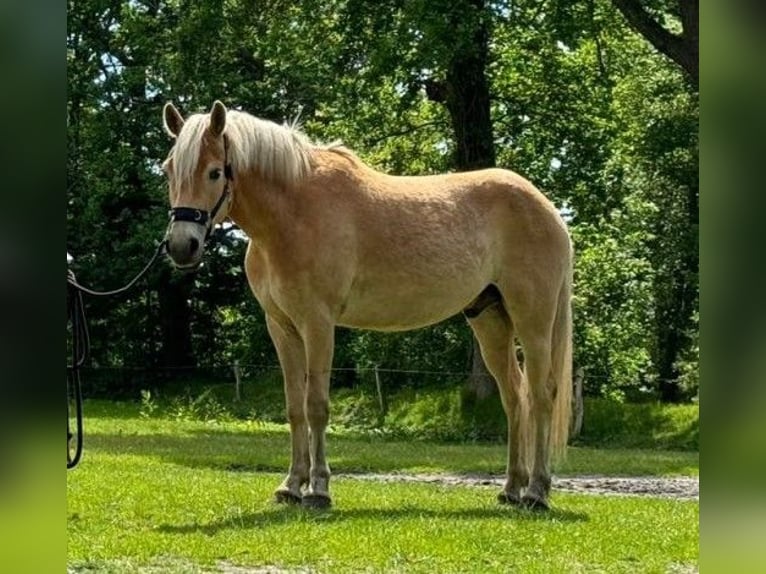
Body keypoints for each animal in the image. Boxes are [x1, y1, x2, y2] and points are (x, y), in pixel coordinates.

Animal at [162, 101, 572, 510]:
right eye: (168, 169)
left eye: (215, 172)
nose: (182, 246)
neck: (294, 213)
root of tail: (547, 209)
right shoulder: (281, 327)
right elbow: (294, 408)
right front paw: (291, 486)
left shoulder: (318, 323)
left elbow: (316, 405)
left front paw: (319, 489)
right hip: (489, 320)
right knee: (515, 397)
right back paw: (511, 488)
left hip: (533, 322)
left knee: (541, 394)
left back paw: (536, 491)